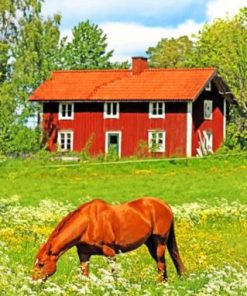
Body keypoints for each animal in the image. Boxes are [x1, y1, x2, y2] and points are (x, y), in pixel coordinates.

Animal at [32, 198, 183, 280]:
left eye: (41, 264)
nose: (33, 283)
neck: (89, 223)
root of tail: (164, 204)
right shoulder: (83, 254)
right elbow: (84, 276)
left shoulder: (109, 251)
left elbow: (114, 273)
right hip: (150, 243)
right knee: (161, 262)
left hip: (160, 241)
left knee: (161, 262)